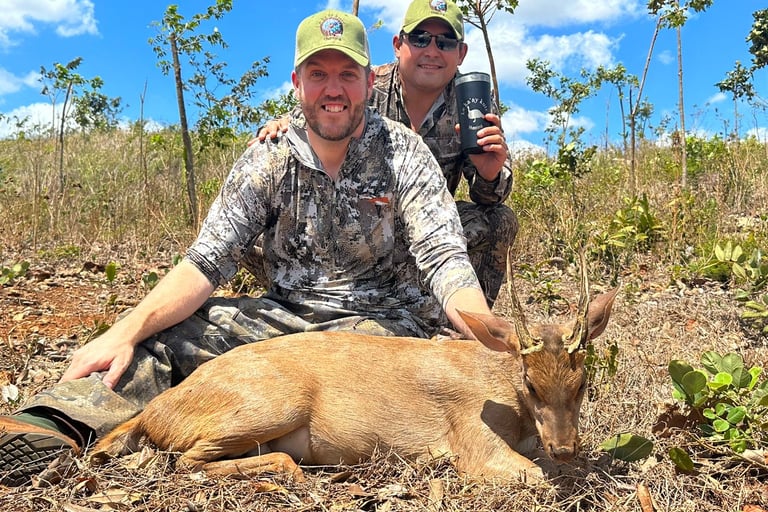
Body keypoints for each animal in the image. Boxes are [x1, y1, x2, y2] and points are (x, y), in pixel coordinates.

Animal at [91, 258, 619, 482]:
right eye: (530, 383)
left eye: (583, 383)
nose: (565, 447)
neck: (498, 390)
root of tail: (154, 412)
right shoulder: (474, 442)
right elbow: (535, 479)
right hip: (271, 406)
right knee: (187, 462)